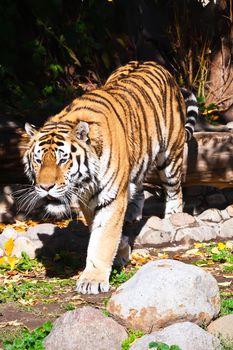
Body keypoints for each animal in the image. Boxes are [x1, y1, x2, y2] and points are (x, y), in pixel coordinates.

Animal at [23, 61, 198, 294]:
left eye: (63, 160)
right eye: (38, 160)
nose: (45, 187)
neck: (85, 182)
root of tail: (154, 63)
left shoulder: (110, 198)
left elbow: (103, 238)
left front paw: (93, 280)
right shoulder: (88, 200)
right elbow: (99, 231)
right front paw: (121, 248)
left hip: (170, 155)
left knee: (174, 191)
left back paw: (172, 218)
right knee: (139, 185)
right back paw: (133, 213)